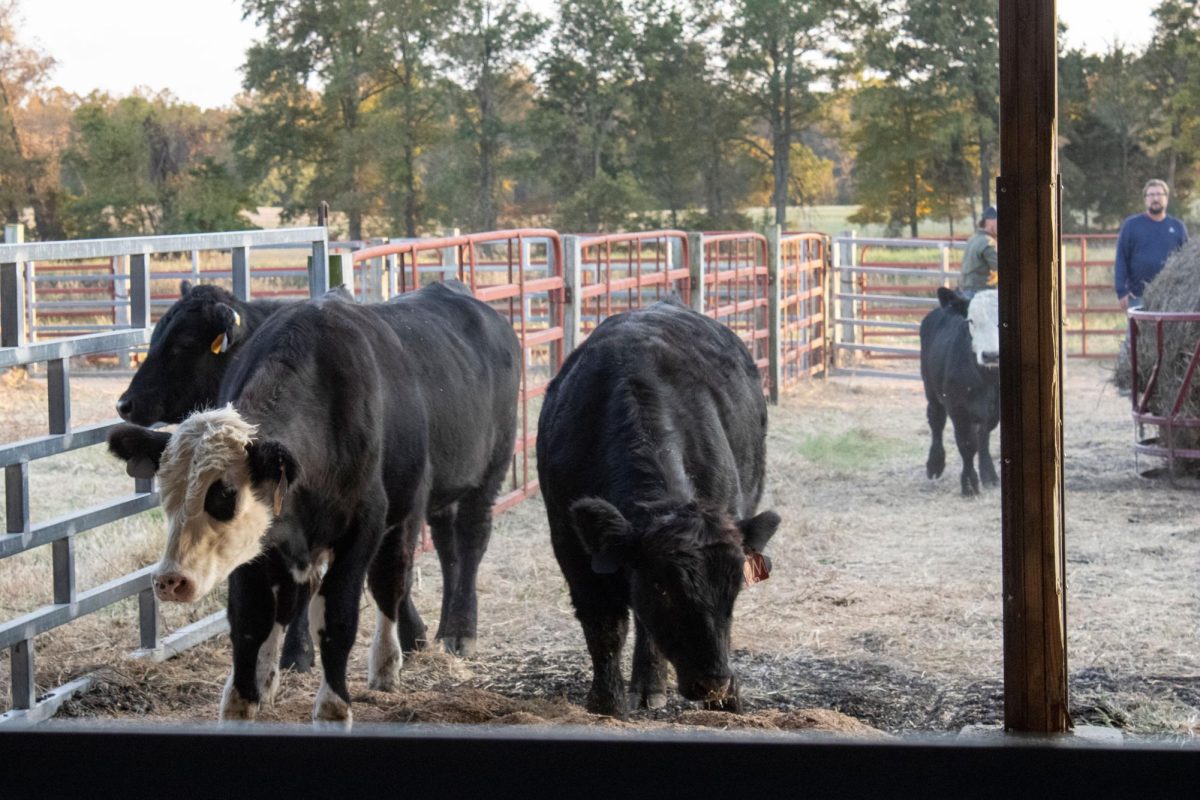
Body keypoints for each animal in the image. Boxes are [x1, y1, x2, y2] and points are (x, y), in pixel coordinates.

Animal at [111, 283, 520, 724]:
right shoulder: (260, 545)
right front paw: (245, 694)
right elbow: (251, 618)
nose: (170, 580)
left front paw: (332, 706)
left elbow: (338, 617)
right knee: (443, 550)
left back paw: (442, 639)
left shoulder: (363, 528)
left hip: (478, 479)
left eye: (225, 495)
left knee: (432, 561)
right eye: (167, 495)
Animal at [540, 299, 782, 719]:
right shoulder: (571, 546)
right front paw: (606, 702)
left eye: (734, 588)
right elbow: (605, 626)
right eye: (664, 588)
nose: (713, 682)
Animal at [916, 287, 1003, 496]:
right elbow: (967, 444)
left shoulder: (995, 410)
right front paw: (969, 484)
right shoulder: (958, 408)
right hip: (930, 388)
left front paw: (988, 476)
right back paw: (935, 464)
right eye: (970, 320)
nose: (990, 355)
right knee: (936, 421)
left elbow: (982, 436)